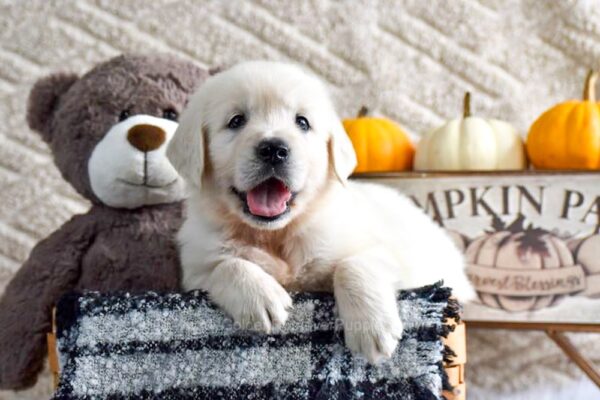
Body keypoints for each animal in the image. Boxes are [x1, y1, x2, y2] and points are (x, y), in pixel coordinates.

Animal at [166, 60, 476, 362]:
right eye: (236, 121)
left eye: (302, 122)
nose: (274, 149)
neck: (277, 235)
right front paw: (261, 297)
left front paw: (371, 328)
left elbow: (353, 265)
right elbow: (226, 265)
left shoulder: (384, 253)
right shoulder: (195, 270)